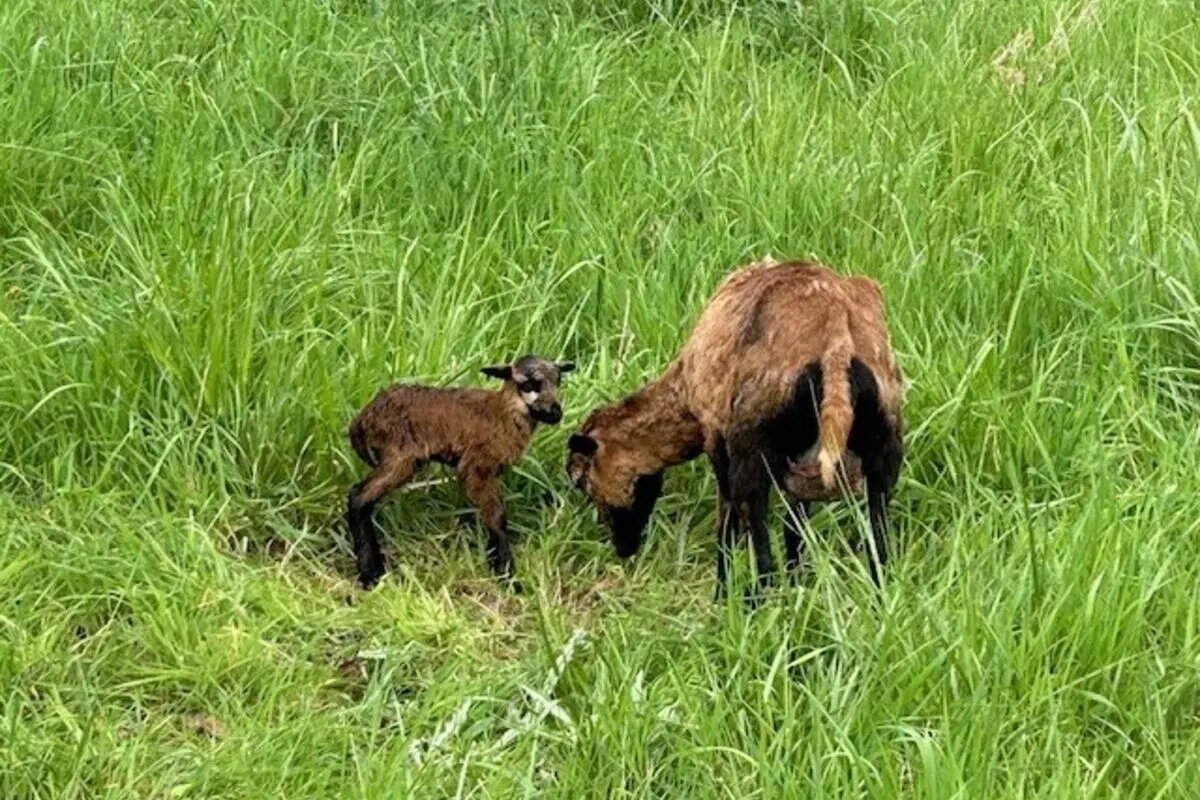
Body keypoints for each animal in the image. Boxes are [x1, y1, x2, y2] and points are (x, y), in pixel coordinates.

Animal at [347, 355, 575, 591]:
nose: (555, 414)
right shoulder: (476, 466)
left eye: (558, 381)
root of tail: (361, 421)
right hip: (400, 457)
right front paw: (506, 576)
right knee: (358, 497)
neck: (502, 412)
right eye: (528, 385)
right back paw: (370, 575)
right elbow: (496, 517)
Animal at [567, 257, 905, 598]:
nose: (623, 549)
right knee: (879, 541)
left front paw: (722, 592)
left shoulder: (716, 436)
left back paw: (754, 599)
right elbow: (794, 527)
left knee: (761, 544)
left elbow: (728, 523)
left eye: (583, 480)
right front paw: (796, 583)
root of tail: (836, 341)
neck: (682, 391)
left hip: (752, 445)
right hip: (885, 444)